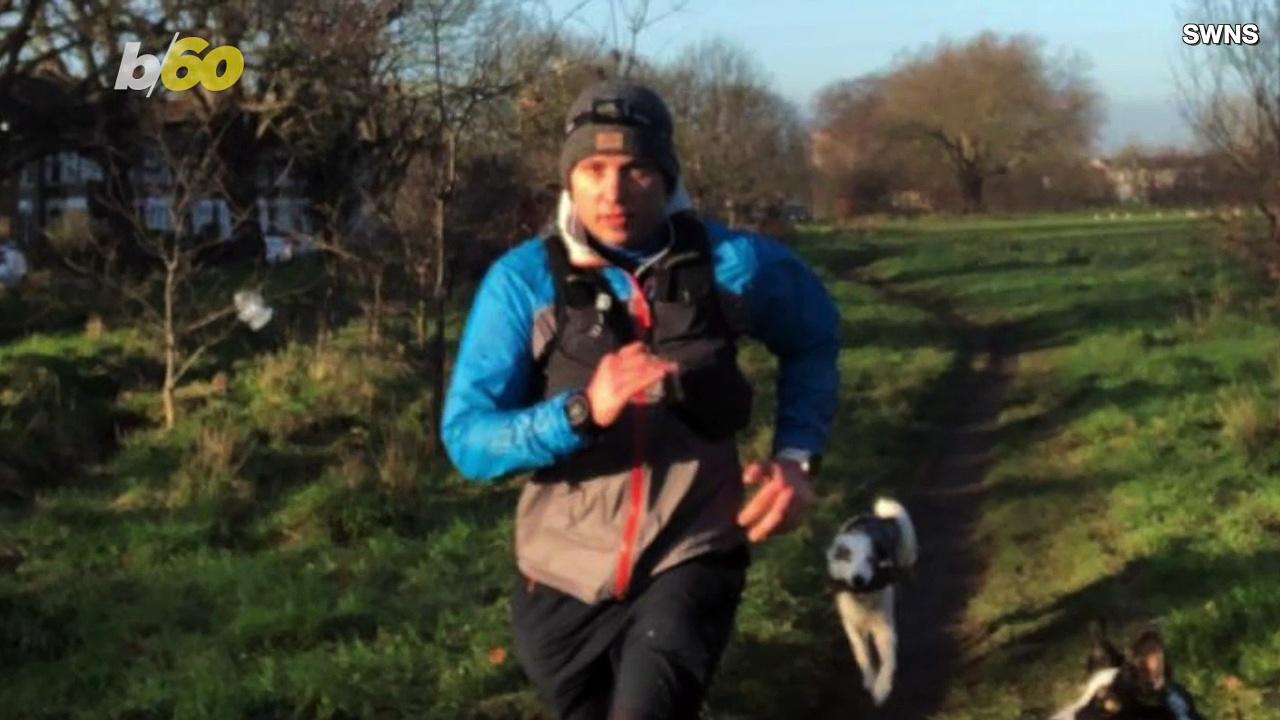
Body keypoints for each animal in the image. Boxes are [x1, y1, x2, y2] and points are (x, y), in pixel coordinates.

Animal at [829, 497, 921, 702]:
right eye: (848, 558)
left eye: (871, 559)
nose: (858, 579)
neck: (864, 601)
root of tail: (878, 518)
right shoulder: (852, 626)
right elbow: (862, 653)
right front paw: (870, 679)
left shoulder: (884, 626)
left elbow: (887, 658)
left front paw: (881, 688)